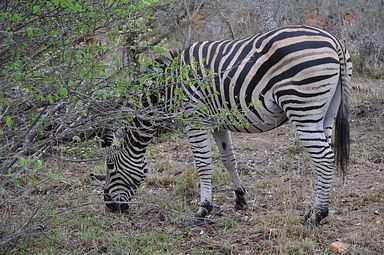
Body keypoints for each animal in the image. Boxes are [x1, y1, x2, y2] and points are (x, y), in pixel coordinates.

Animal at [102, 25, 352, 225]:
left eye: (110, 166)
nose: (109, 206)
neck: (172, 85)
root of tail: (334, 40)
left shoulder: (195, 118)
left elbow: (203, 164)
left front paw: (203, 209)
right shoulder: (217, 122)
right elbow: (228, 159)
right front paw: (240, 198)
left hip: (302, 106)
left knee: (324, 158)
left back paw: (318, 215)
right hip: (326, 112)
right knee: (323, 159)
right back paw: (312, 211)